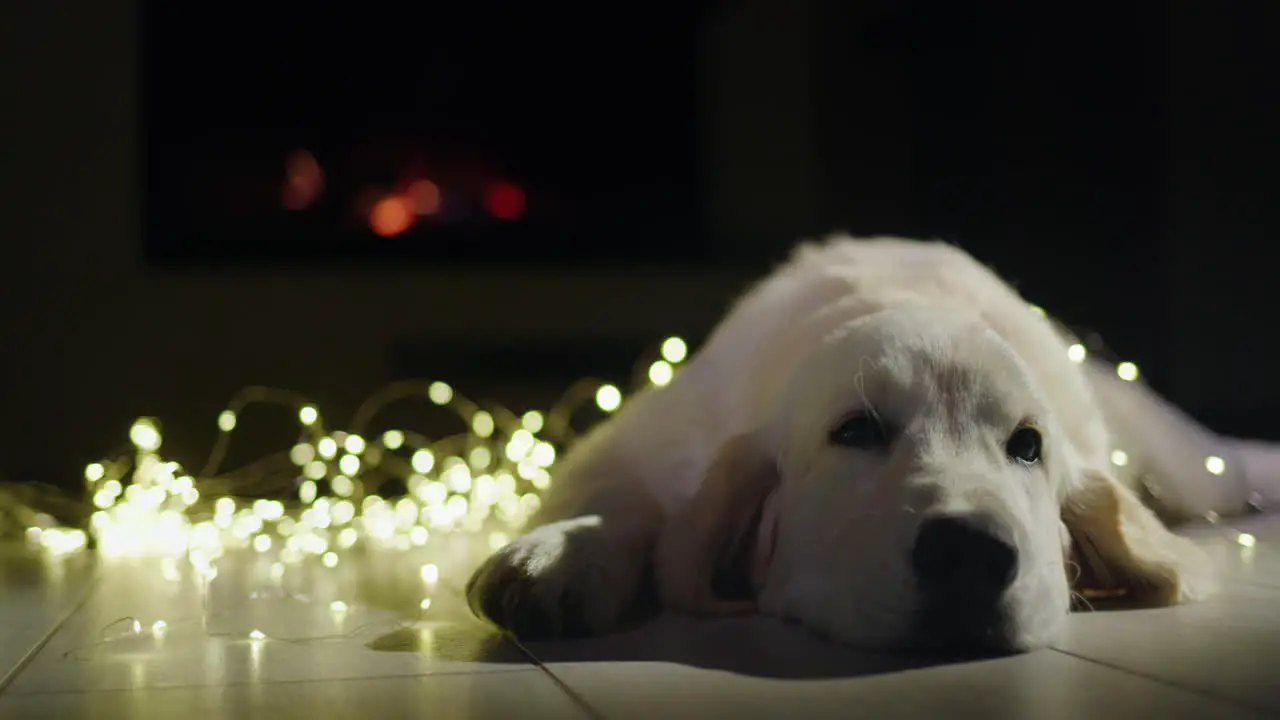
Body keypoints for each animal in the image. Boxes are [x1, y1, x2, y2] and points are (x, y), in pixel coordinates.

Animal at [465, 235, 1274, 650]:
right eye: (855, 431)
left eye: (1028, 445)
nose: (970, 555)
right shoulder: (644, 432)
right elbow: (614, 492)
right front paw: (564, 554)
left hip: (1187, 464)